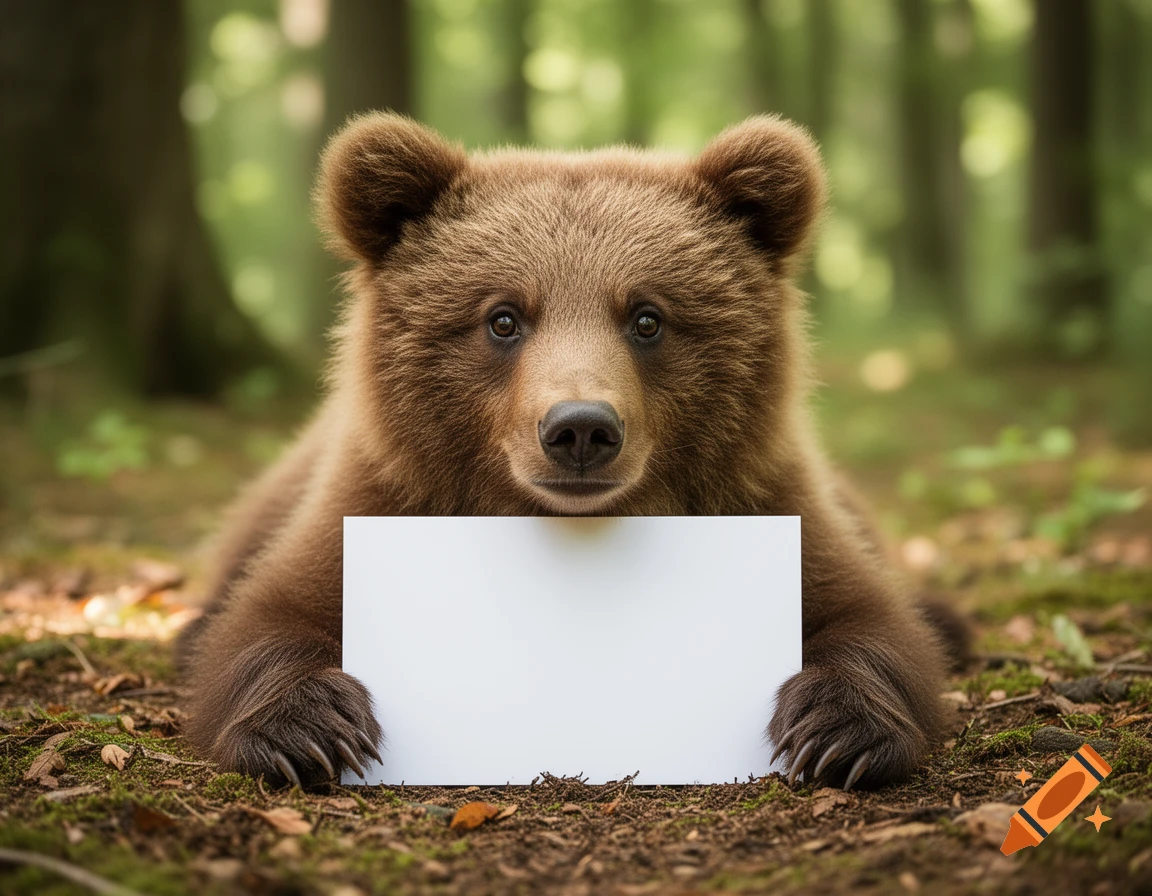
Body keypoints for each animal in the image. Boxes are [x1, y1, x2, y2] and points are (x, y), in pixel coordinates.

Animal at [178, 112, 954, 792]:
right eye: (503, 318)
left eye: (647, 317)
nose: (581, 428)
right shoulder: (382, 494)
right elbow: (271, 615)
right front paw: (309, 728)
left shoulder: (762, 495)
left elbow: (868, 616)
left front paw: (837, 730)